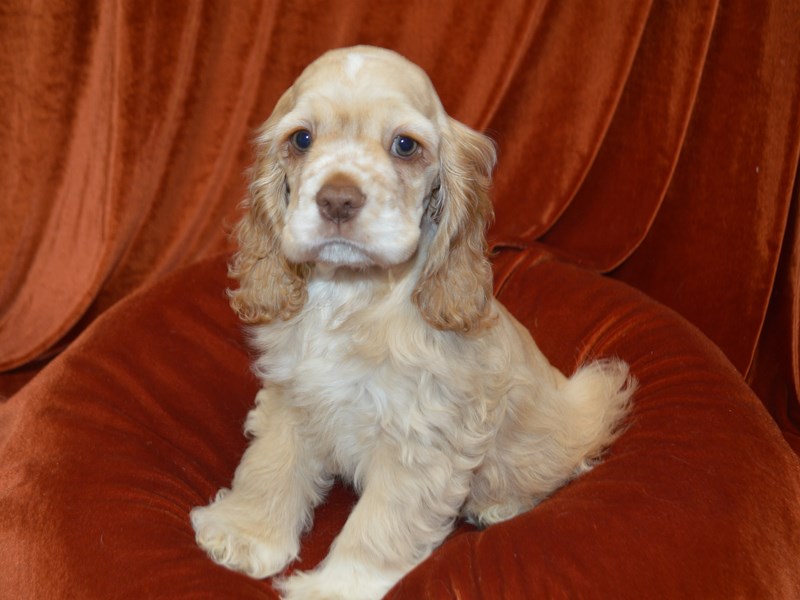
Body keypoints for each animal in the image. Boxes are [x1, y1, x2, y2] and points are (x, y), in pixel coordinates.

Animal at [191, 47, 636, 600]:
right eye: (301, 139)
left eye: (405, 145)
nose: (338, 200)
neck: (351, 294)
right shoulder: (293, 399)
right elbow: (271, 466)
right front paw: (244, 535)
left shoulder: (421, 441)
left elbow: (378, 525)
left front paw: (332, 588)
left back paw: (499, 506)